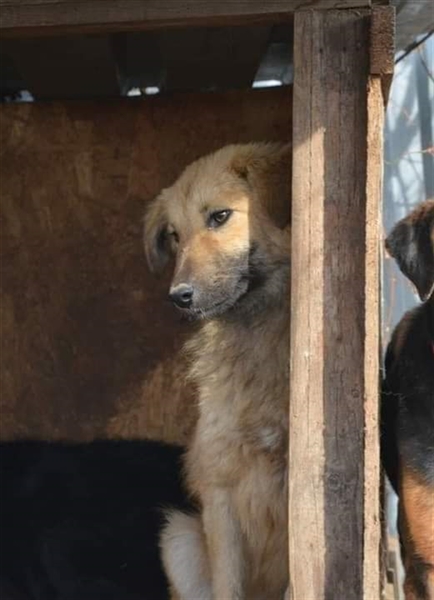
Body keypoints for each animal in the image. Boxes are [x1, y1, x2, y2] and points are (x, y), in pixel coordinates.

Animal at [144, 142, 291, 599]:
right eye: (175, 235)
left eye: (220, 216)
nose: (179, 297)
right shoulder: (220, 488)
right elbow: (229, 584)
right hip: (177, 536)